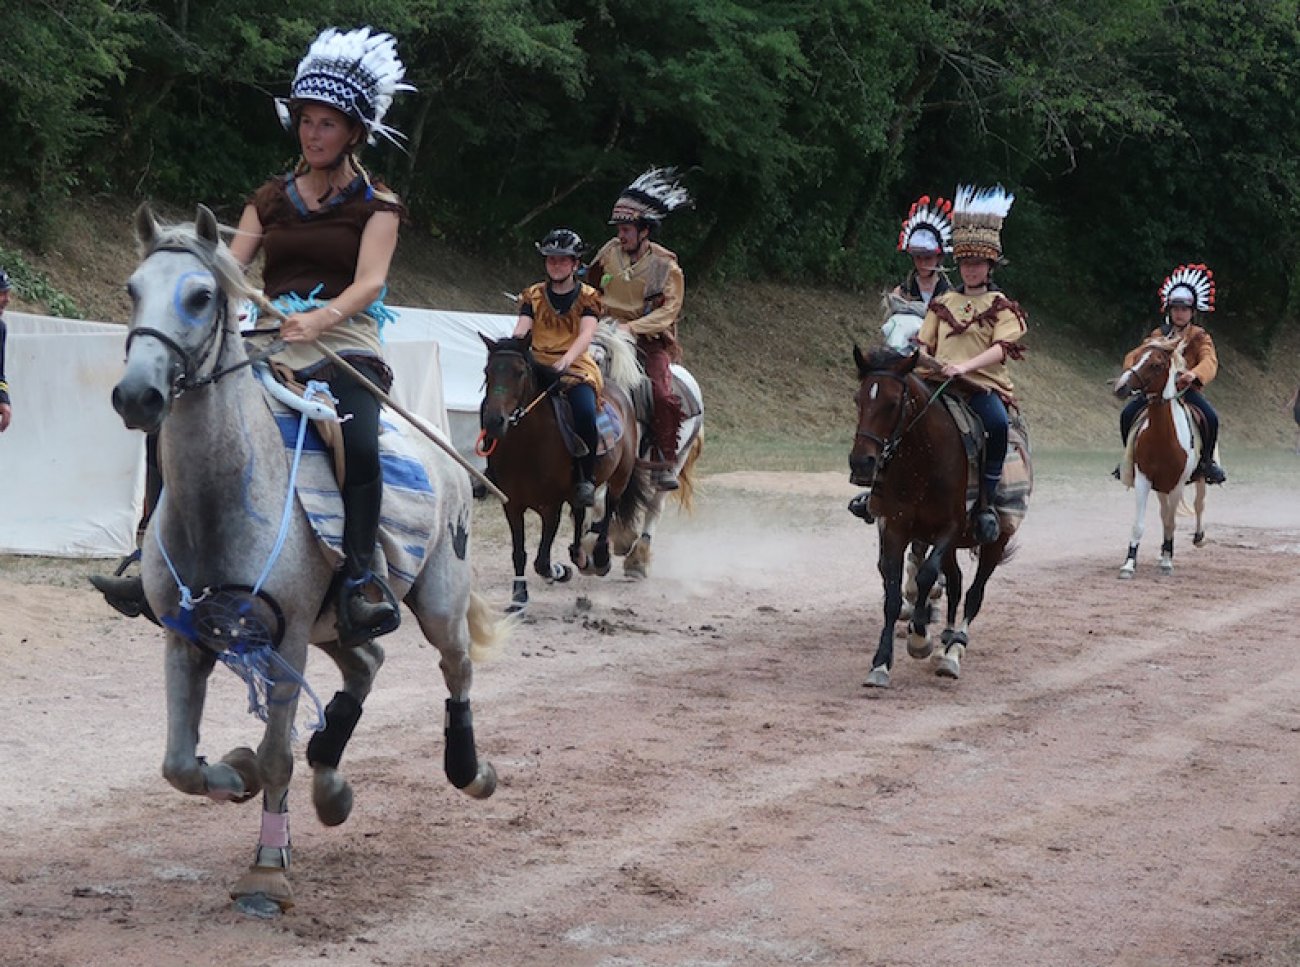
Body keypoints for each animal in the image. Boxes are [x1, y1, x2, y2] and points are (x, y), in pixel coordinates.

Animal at [110, 203, 507, 914]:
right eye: (133, 290)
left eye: (201, 296)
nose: (137, 396)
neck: (227, 496)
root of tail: (449, 460)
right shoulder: (186, 639)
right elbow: (179, 765)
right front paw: (231, 771)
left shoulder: (287, 638)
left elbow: (275, 757)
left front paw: (267, 869)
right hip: (336, 623)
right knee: (367, 661)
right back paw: (331, 782)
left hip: (437, 599)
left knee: (455, 668)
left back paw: (470, 771)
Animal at [478, 330, 649, 611]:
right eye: (487, 372)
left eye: (520, 372)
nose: (494, 421)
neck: (526, 447)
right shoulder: (512, 504)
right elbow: (519, 553)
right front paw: (519, 597)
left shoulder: (551, 506)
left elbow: (542, 561)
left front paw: (558, 571)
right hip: (579, 488)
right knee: (580, 513)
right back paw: (579, 556)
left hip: (620, 476)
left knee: (608, 511)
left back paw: (599, 559)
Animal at [848, 346, 1020, 687]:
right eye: (859, 400)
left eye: (892, 403)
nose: (861, 462)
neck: (923, 461)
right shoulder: (897, 527)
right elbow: (892, 592)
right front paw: (881, 663)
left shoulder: (949, 528)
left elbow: (927, 576)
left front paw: (919, 638)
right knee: (955, 582)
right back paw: (944, 645)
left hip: (994, 542)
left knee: (974, 594)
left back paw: (953, 652)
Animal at [1112, 335, 1208, 578]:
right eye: (1136, 355)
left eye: (1156, 364)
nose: (1121, 387)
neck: (1163, 437)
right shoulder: (1144, 480)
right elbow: (1140, 524)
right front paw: (1129, 563)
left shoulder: (1177, 485)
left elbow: (1171, 523)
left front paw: (1167, 561)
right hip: (1161, 487)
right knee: (1165, 513)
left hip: (1199, 479)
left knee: (1198, 505)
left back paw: (1197, 538)